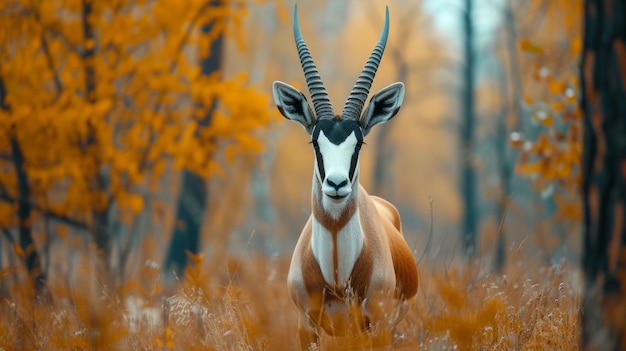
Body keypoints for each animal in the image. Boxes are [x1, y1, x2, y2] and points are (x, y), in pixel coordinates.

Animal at [272, 4, 414, 350]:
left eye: (359, 142)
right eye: (314, 141)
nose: (336, 184)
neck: (336, 276)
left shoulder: (376, 325)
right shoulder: (305, 326)